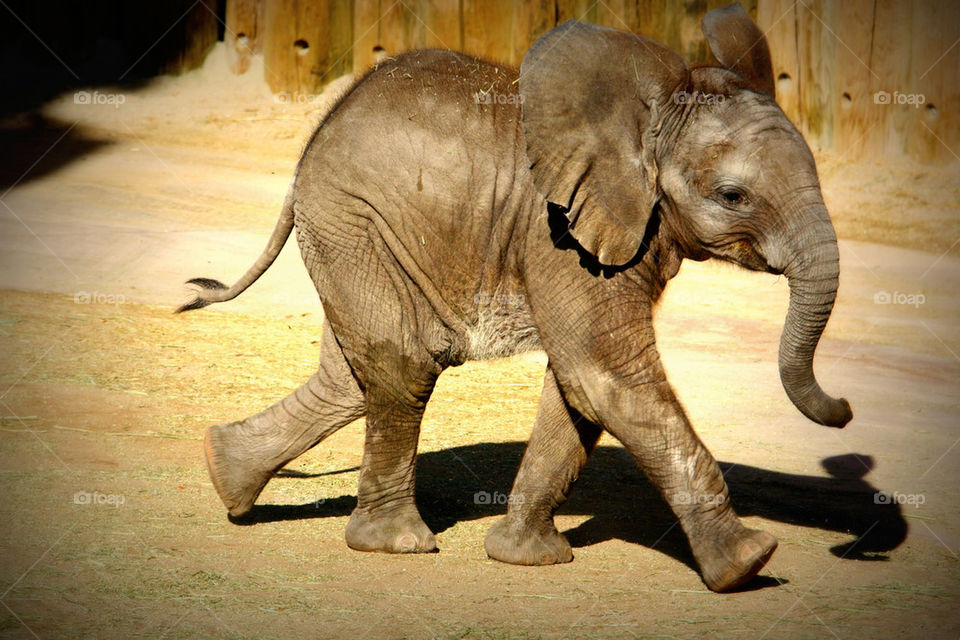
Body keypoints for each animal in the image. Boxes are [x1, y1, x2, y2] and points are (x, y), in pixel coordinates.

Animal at [178, 3, 848, 596]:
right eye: (733, 196)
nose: (842, 410)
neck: (644, 123)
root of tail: (313, 140)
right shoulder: (560, 235)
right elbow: (608, 375)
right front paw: (749, 563)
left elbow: (579, 386)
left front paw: (527, 557)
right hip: (354, 221)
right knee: (404, 363)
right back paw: (397, 543)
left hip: (354, 235)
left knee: (353, 375)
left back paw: (225, 474)